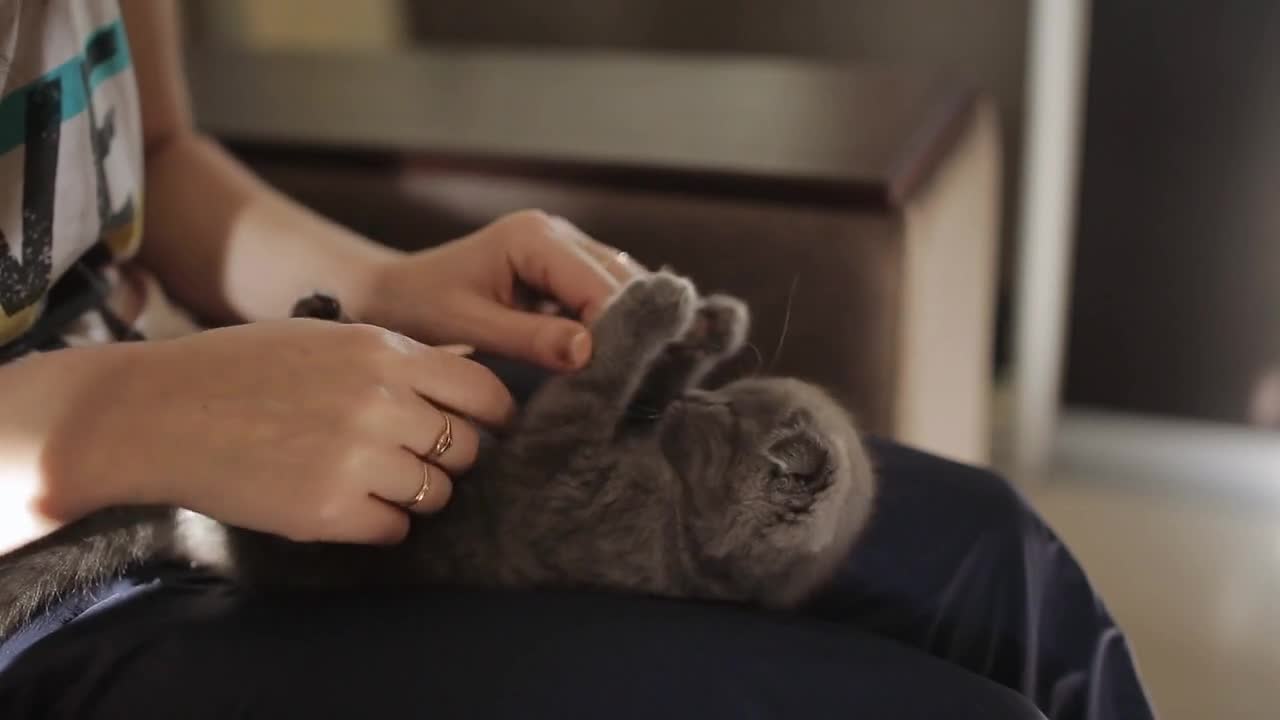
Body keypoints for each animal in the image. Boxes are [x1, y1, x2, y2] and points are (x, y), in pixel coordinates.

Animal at [0, 271, 875, 635]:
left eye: (726, 420)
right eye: (726, 396)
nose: (695, 406)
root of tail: (188, 518)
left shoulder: (558, 478)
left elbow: (593, 375)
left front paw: (657, 302)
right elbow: (641, 375)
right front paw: (710, 324)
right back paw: (322, 309)